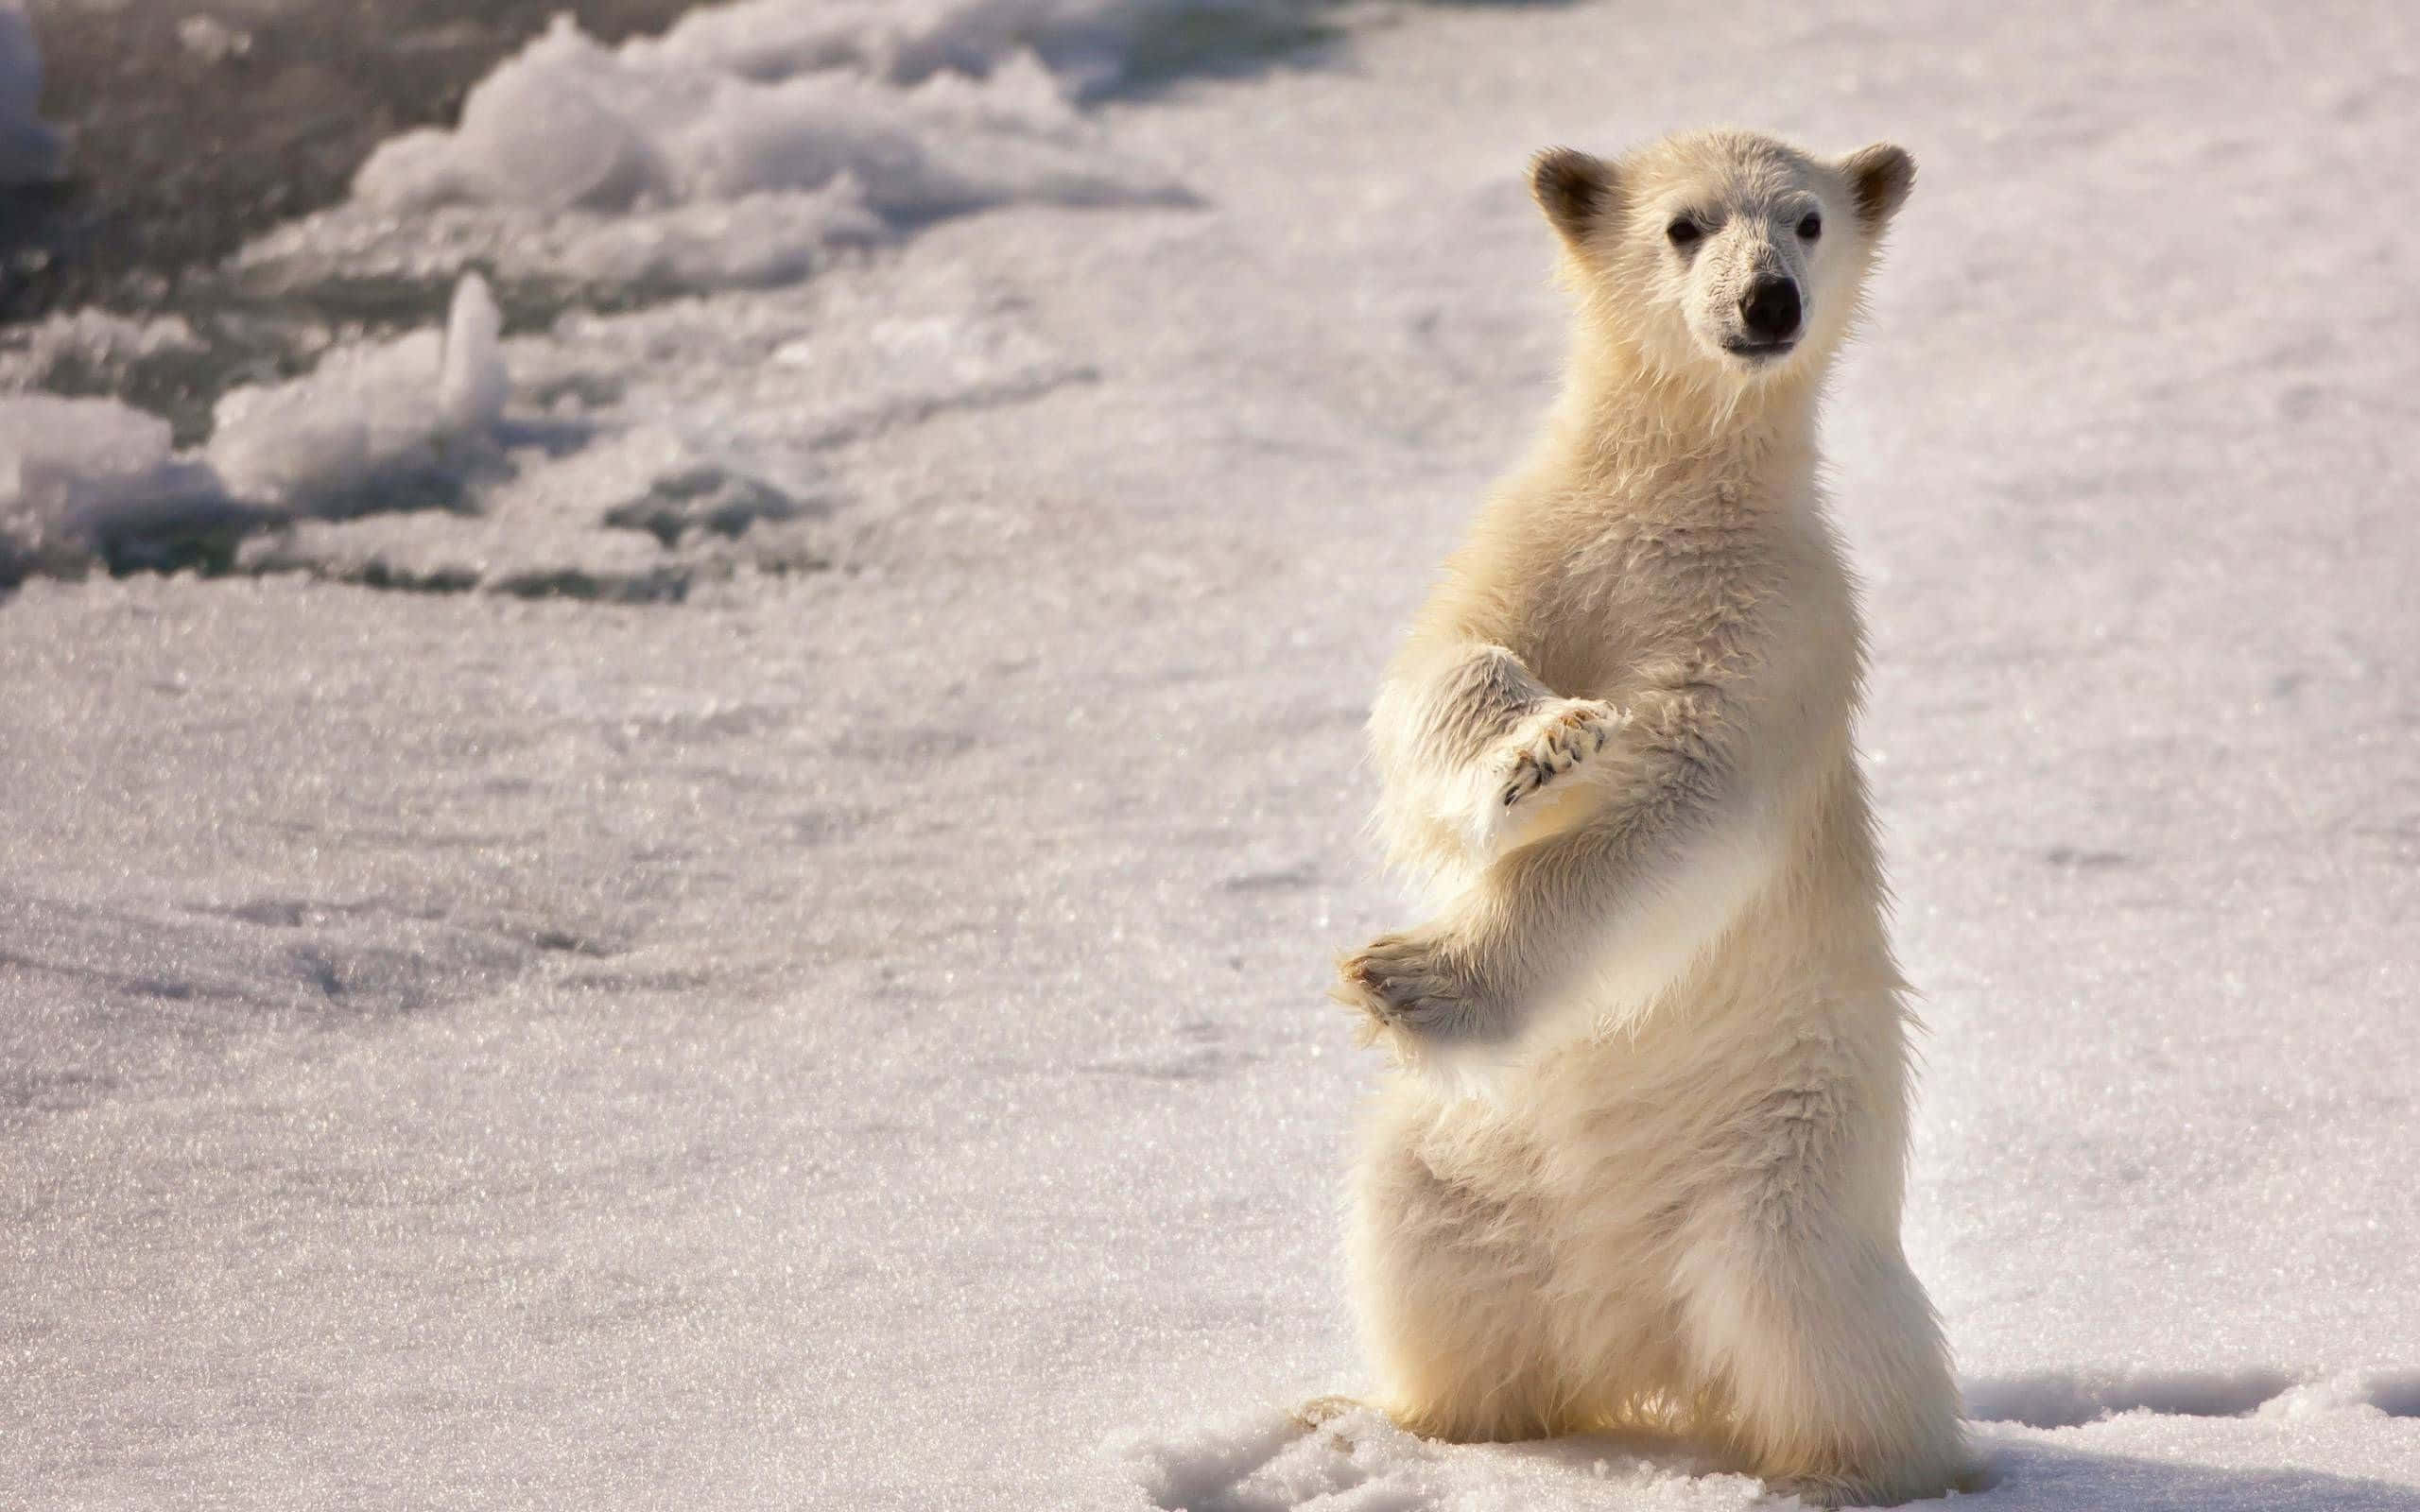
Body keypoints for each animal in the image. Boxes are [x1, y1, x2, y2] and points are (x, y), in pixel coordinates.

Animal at [1327, 130, 1967, 1506]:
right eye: (1684, 225)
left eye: (1808, 220)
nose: (1766, 302)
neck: (1676, 495)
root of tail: (1639, 1340)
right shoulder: (1539, 541)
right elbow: (1441, 674)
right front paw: (1542, 748)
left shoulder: (1776, 621)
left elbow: (1682, 796)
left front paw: (1413, 978)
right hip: (1463, 1162)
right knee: (1431, 1264)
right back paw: (1422, 1426)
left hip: (1786, 1151)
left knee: (1815, 1326)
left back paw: (1859, 1469)